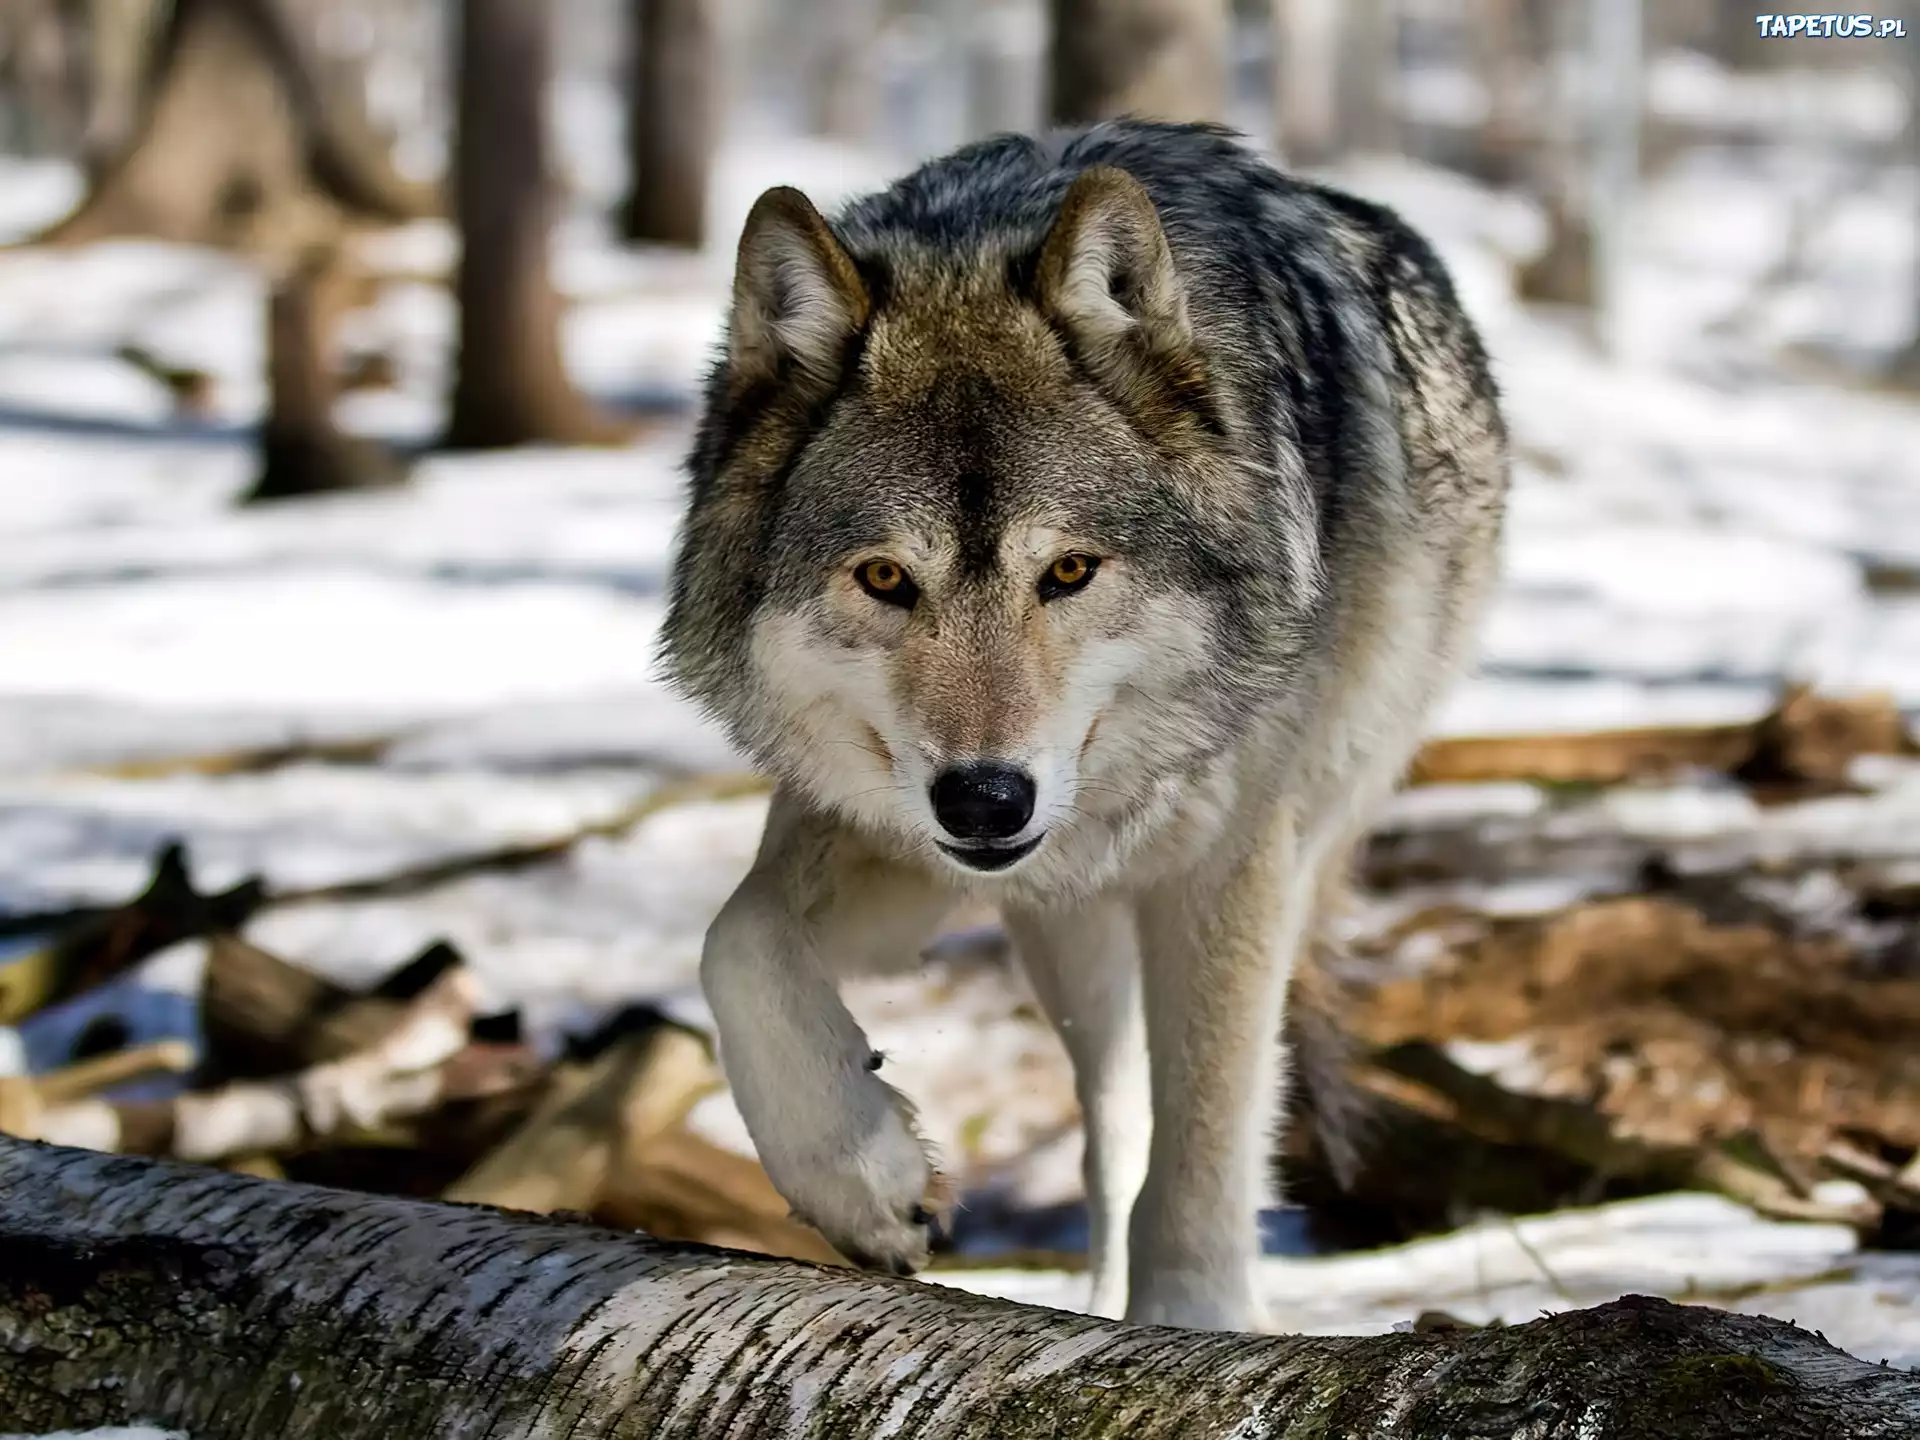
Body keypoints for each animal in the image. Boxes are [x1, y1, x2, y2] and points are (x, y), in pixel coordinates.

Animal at [660, 118, 1512, 1336]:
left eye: (1068, 571)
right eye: (885, 577)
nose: (985, 799)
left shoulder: (1233, 864)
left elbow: (1205, 1150)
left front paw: (1198, 1330)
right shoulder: (901, 824)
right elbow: (736, 944)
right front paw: (861, 1179)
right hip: (1068, 934)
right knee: (1114, 1137)